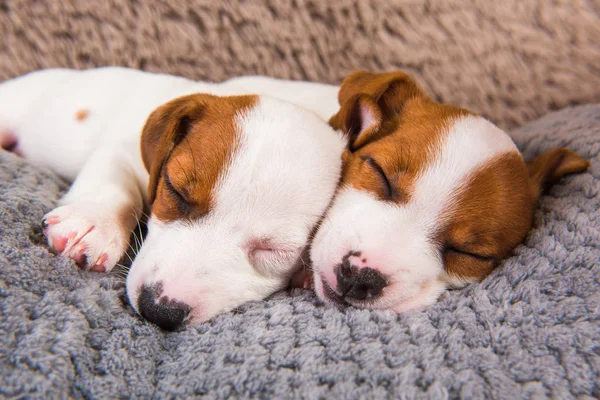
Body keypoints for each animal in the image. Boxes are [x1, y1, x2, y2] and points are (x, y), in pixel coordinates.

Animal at [0, 67, 344, 330]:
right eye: (176, 192)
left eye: (273, 250)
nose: (158, 309)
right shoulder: (126, 150)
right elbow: (115, 185)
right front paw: (92, 222)